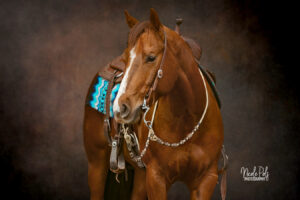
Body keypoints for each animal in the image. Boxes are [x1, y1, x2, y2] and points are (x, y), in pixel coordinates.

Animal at [113, 8, 225, 199]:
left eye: (151, 57)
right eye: (126, 58)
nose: (120, 108)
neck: (188, 120)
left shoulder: (207, 179)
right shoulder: (156, 178)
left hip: (140, 176)